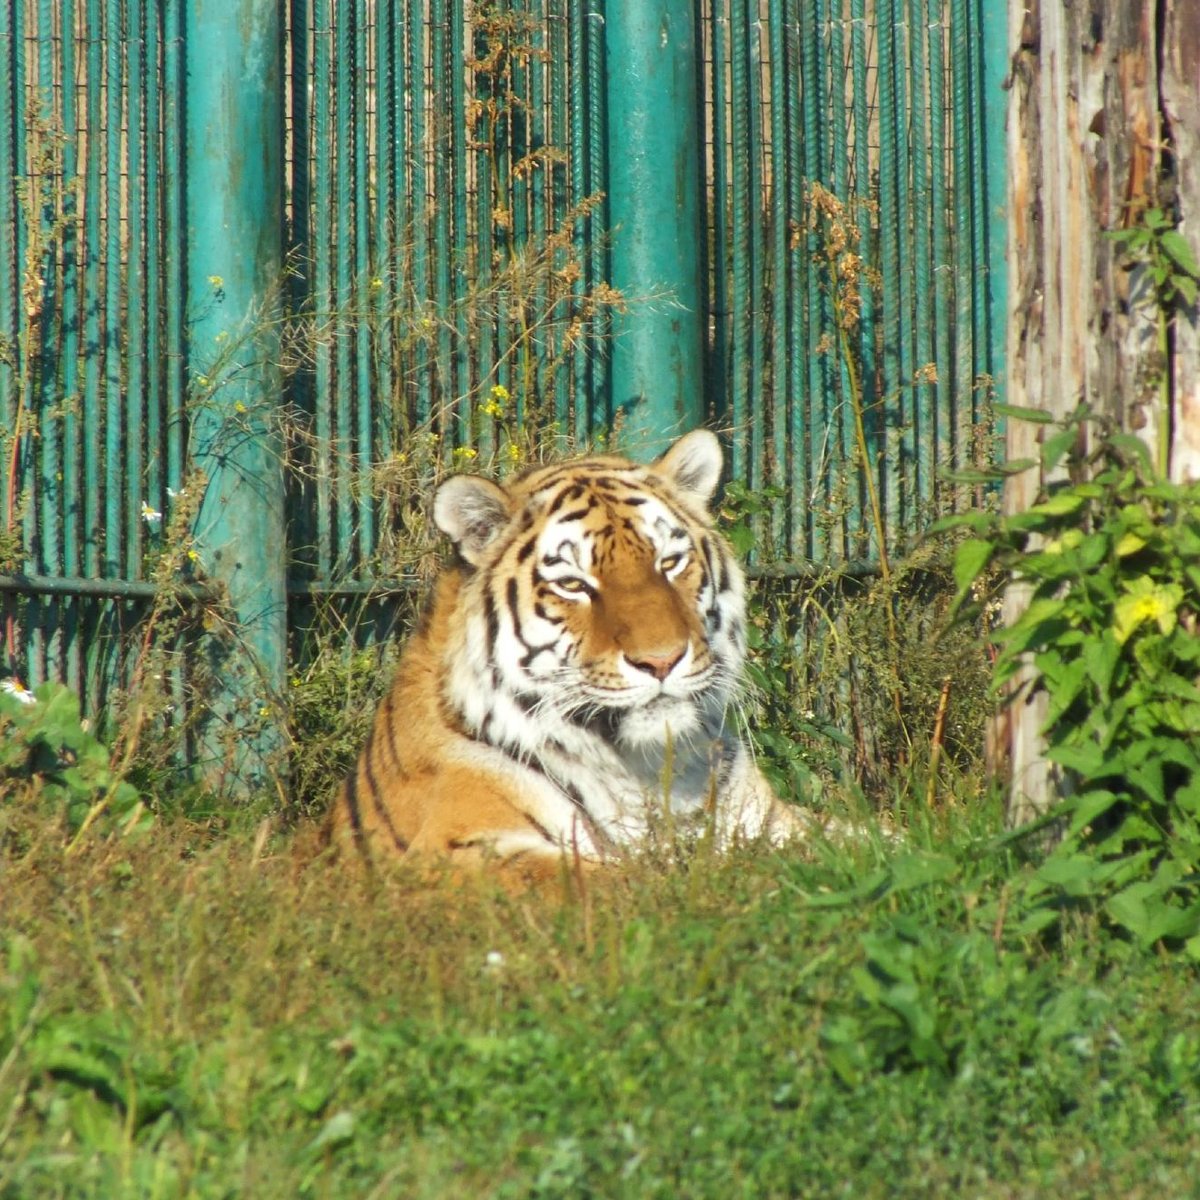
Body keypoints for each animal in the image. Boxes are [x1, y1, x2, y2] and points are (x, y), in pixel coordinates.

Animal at [333, 429, 811, 883]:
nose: (661, 660)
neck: (647, 766)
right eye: (573, 585)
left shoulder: (772, 820)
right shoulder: (455, 851)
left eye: (670, 563)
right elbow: (619, 881)